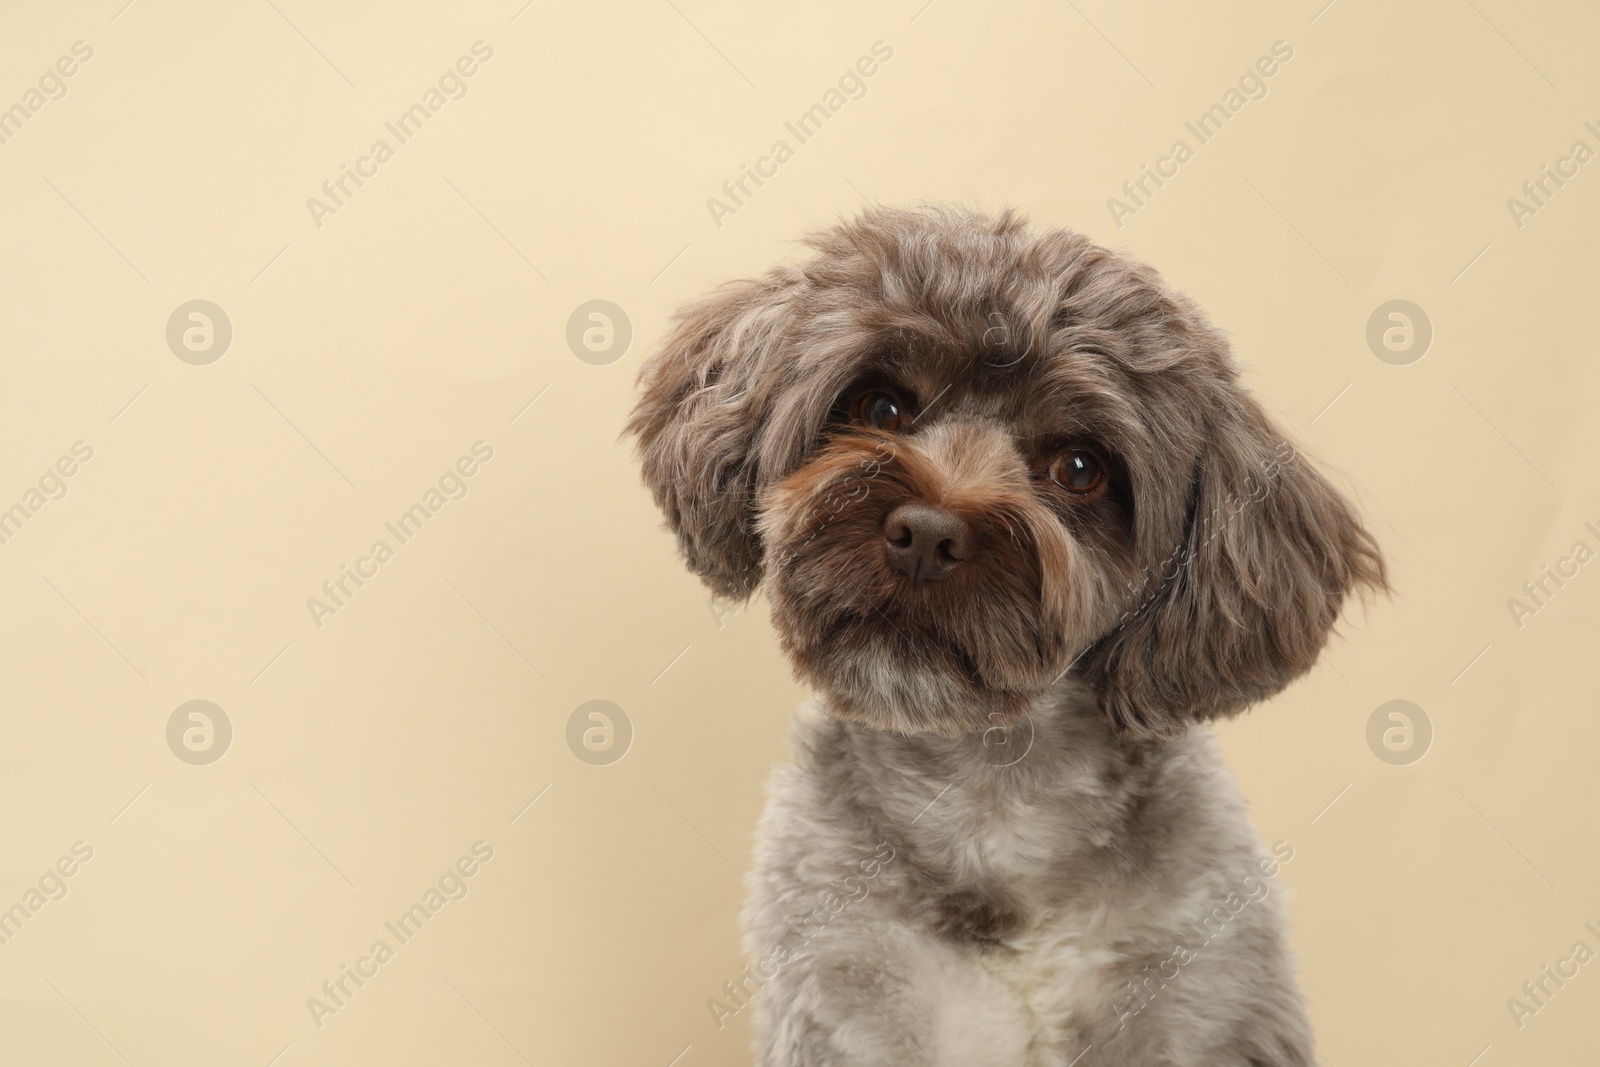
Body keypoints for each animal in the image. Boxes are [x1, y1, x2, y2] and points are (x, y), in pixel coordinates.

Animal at [624, 207, 1388, 1067]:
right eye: (881, 408)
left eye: (1080, 467)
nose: (925, 534)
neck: (991, 795)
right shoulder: (845, 1009)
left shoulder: (1206, 1009)